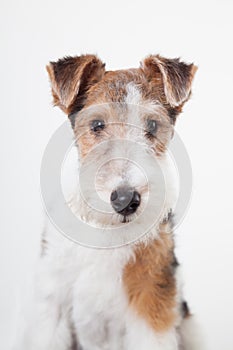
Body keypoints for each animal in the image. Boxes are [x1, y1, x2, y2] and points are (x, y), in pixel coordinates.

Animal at [15, 53, 203, 348]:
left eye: (152, 125)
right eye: (97, 125)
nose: (126, 199)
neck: (106, 228)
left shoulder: (151, 298)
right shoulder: (53, 296)